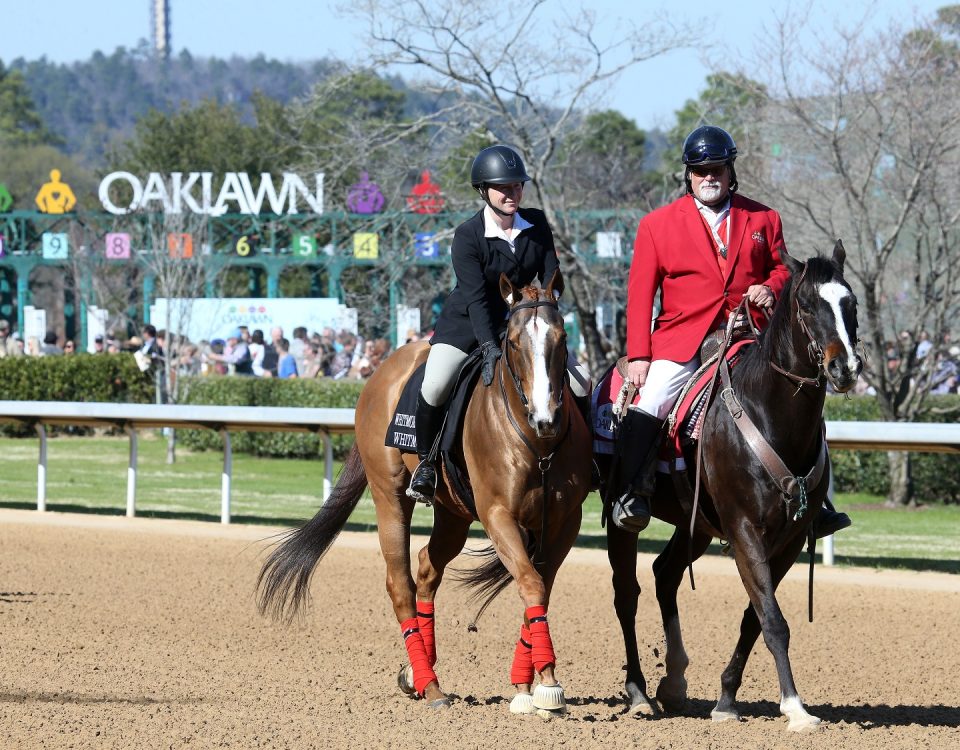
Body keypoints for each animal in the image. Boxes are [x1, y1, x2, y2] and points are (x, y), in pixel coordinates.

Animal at [258, 270, 592, 716]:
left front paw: (530, 684)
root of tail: (384, 368)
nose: (546, 418)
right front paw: (546, 685)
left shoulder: (563, 523)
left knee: (427, 569)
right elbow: (531, 583)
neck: (537, 443)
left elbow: (538, 588)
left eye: (561, 337)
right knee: (400, 584)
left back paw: (419, 672)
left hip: (453, 514)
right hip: (391, 497)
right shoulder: (498, 516)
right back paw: (430, 685)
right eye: (513, 342)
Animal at [600, 242, 864, 736]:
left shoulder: (788, 540)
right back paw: (639, 693)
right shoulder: (745, 531)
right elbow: (773, 620)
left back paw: (674, 682)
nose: (846, 367)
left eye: (850, 303)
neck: (770, 415)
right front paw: (795, 707)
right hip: (621, 522)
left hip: (696, 525)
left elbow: (754, 618)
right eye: (807, 304)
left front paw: (726, 698)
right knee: (627, 595)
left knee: (665, 575)